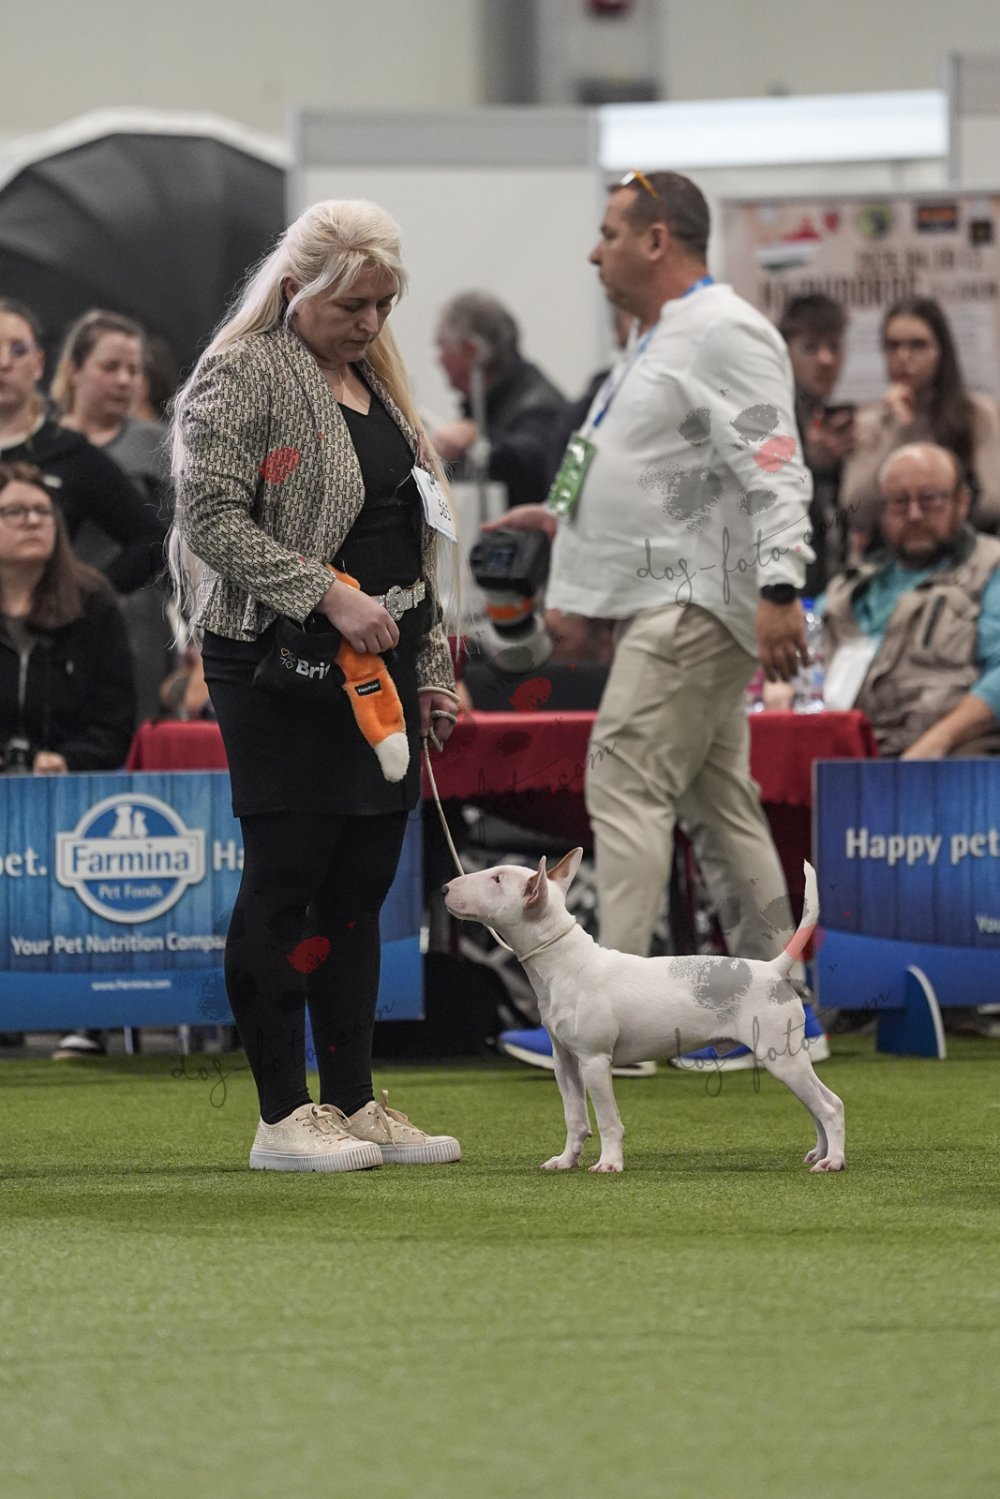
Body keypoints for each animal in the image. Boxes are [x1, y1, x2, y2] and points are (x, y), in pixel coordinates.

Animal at [444, 850, 845, 1174]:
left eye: (497, 879)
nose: (446, 887)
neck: (564, 963)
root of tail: (774, 969)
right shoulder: (565, 1061)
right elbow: (575, 1117)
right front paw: (566, 1160)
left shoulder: (595, 1060)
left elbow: (607, 1120)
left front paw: (609, 1163)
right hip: (787, 1057)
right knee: (823, 1103)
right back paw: (820, 1152)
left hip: (780, 1057)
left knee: (829, 1108)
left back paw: (833, 1161)